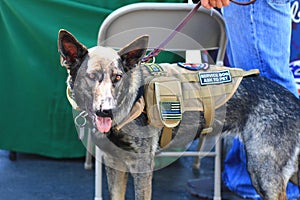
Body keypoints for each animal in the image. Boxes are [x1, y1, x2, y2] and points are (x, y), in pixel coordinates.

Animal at [58, 29, 300, 200]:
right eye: (91, 76)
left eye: (117, 77)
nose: (106, 111)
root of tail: (294, 99)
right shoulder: (114, 166)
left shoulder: (142, 168)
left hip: (263, 174)